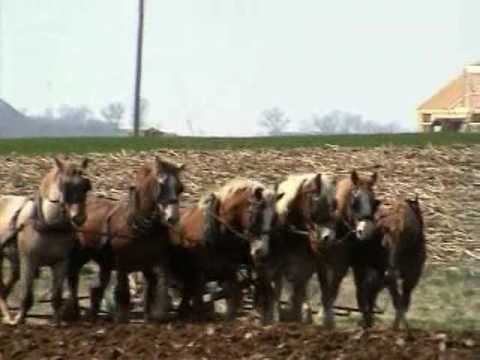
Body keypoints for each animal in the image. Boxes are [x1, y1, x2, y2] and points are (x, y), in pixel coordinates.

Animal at [0, 159, 92, 324]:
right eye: (64, 185)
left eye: (86, 186)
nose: (79, 217)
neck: (49, 225)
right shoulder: (28, 260)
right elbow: (26, 294)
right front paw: (19, 319)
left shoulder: (61, 262)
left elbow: (56, 295)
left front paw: (56, 322)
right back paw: (8, 316)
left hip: (14, 258)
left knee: (11, 279)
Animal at [63, 158, 184, 324]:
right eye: (161, 185)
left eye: (180, 188)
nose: (172, 218)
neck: (139, 227)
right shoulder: (122, 262)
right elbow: (123, 290)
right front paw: (121, 318)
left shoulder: (155, 261)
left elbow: (156, 289)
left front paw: (153, 316)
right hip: (80, 255)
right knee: (73, 278)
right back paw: (73, 312)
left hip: (104, 261)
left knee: (97, 286)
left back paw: (92, 315)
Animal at [172, 179, 278, 320]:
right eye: (256, 214)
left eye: (274, 217)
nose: (261, 250)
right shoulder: (200, 273)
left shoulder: (230, 272)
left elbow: (232, 304)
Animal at [255, 173, 338, 324]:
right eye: (317, 201)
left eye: (334, 204)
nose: (328, 237)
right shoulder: (280, 266)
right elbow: (278, 289)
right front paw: (275, 317)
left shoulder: (313, 264)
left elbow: (321, 286)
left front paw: (324, 318)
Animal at [316, 170, 378, 330]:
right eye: (355, 203)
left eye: (374, 202)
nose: (366, 231)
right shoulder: (321, 262)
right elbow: (326, 289)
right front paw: (324, 318)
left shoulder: (343, 265)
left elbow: (333, 290)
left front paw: (328, 319)